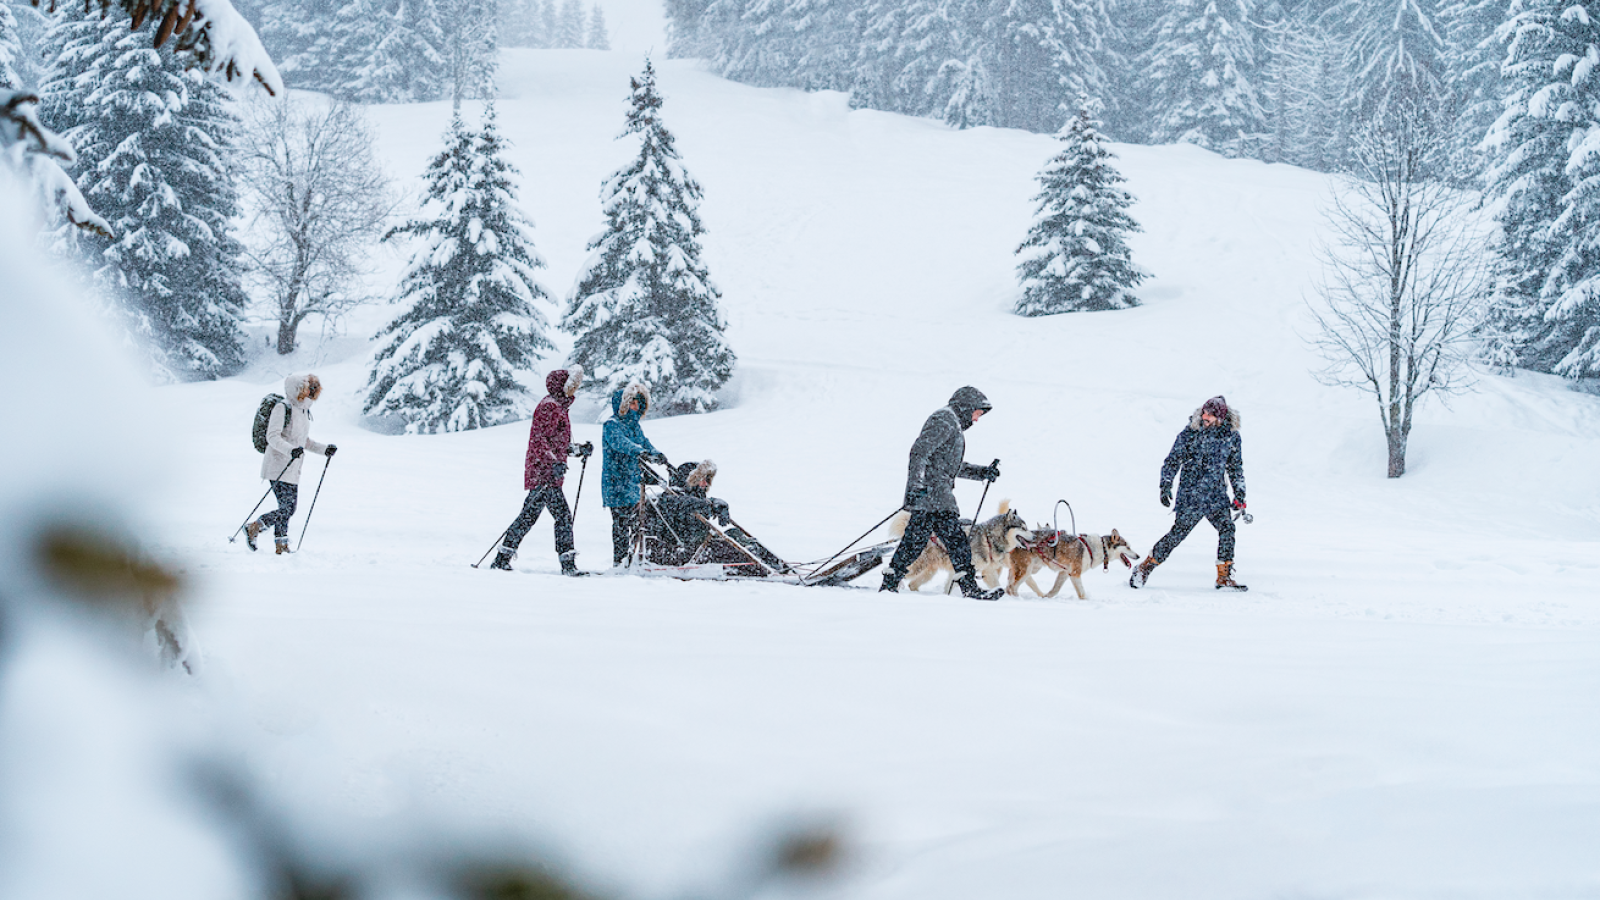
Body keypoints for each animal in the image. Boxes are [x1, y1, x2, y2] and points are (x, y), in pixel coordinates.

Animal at [889, 499, 1036, 592]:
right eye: (1023, 528)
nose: (1034, 537)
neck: (989, 539)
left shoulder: (985, 571)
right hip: (918, 567)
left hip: (929, 571)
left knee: (912, 584)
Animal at [1011, 525, 1139, 595]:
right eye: (1128, 547)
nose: (1138, 556)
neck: (1098, 548)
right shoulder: (1075, 574)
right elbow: (1082, 593)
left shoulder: (1064, 573)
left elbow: (1055, 590)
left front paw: (1046, 597)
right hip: (1026, 569)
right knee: (1011, 587)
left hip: (1030, 569)